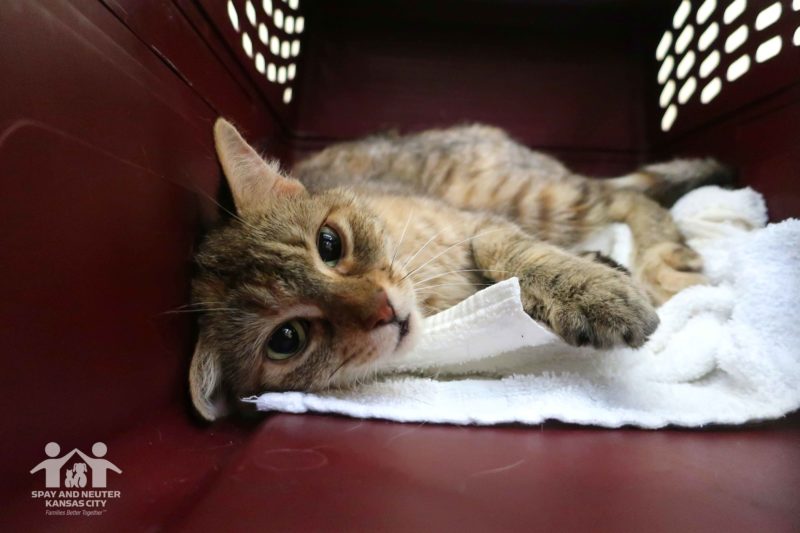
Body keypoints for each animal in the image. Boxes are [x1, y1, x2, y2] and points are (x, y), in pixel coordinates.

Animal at [189, 117, 732, 420]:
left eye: (329, 243)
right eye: (287, 339)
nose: (383, 309)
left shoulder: (478, 222)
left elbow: (501, 249)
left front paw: (592, 293)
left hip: (529, 194)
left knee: (628, 198)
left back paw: (660, 264)